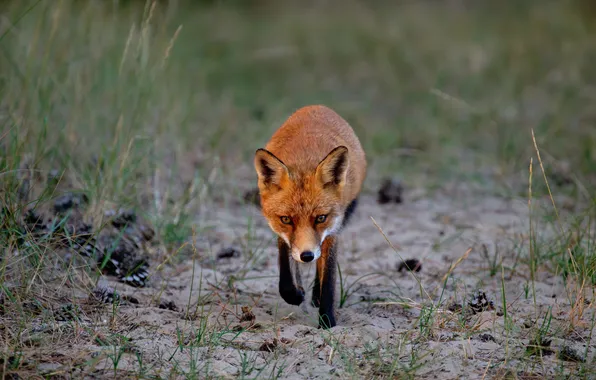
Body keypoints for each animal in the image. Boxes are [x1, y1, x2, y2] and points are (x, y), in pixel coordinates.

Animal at [253, 104, 366, 330]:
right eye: (286, 219)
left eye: (321, 218)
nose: (307, 256)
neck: (305, 160)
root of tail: (317, 107)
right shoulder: (282, 234)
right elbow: (286, 267)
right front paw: (295, 294)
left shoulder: (333, 229)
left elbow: (328, 277)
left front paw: (327, 320)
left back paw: (315, 296)